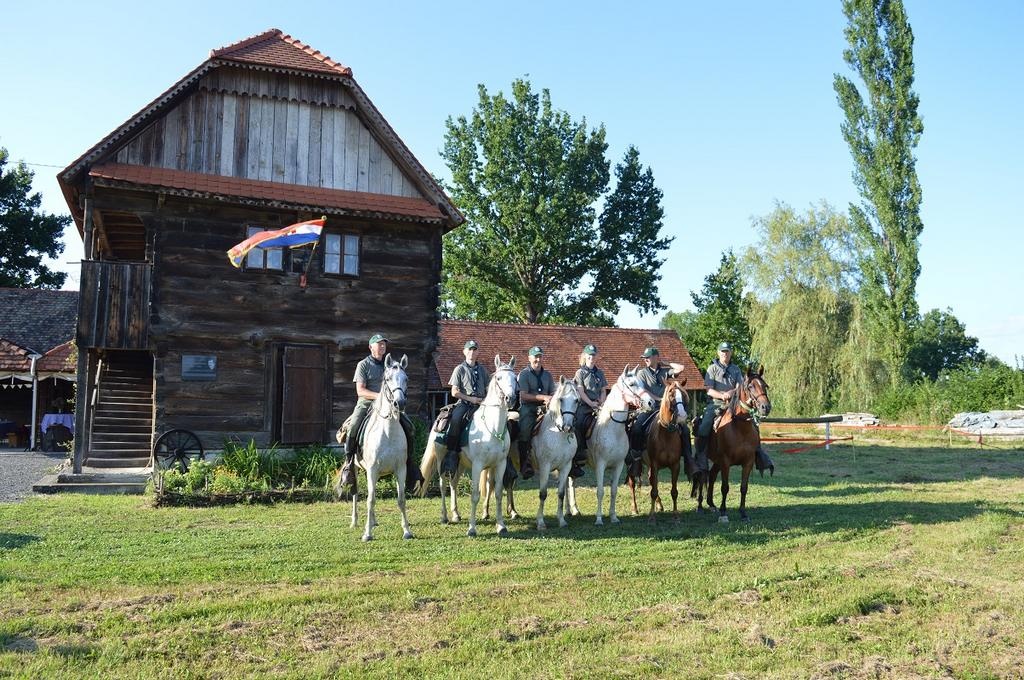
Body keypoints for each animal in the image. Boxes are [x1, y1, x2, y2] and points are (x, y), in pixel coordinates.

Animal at [419, 355, 518, 537]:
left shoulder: (500, 464)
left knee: (453, 483)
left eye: (515, 378)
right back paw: (444, 517)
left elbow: (498, 493)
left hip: (460, 463)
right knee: (443, 484)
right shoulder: (478, 466)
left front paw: (501, 526)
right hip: (441, 460)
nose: (510, 399)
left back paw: (456, 514)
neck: (492, 427)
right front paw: (472, 529)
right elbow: (475, 495)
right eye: (499, 378)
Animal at [482, 377, 580, 530]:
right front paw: (540, 522)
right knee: (491, 483)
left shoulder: (566, 467)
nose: (568, 427)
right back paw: (486, 512)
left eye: (576, 400)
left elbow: (561, 494)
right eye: (561, 399)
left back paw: (513, 511)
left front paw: (562, 520)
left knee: (509, 481)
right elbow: (543, 494)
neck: (558, 435)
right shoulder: (545, 466)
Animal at [565, 366, 657, 525]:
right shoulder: (600, 465)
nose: (651, 402)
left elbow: (614, 491)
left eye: (642, 383)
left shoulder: (618, 465)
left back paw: (575, 510)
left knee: (571, 482)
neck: (612, 428)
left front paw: (613, 517)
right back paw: (567, 511)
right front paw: (599, 519)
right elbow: (600, 491)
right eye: (632, 384)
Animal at [627, 378, 689, 522]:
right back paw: (635, 508)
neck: (666, 433)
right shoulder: (655, 464)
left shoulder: (675, 466)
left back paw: (659, 505)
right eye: (671, 395)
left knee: (651, 481)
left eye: (683, 395)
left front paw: (676, 516)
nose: (682, 416)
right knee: (632, 483)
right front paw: (651, 517)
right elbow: (653, 491)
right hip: (631, 464)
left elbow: (674, 491)